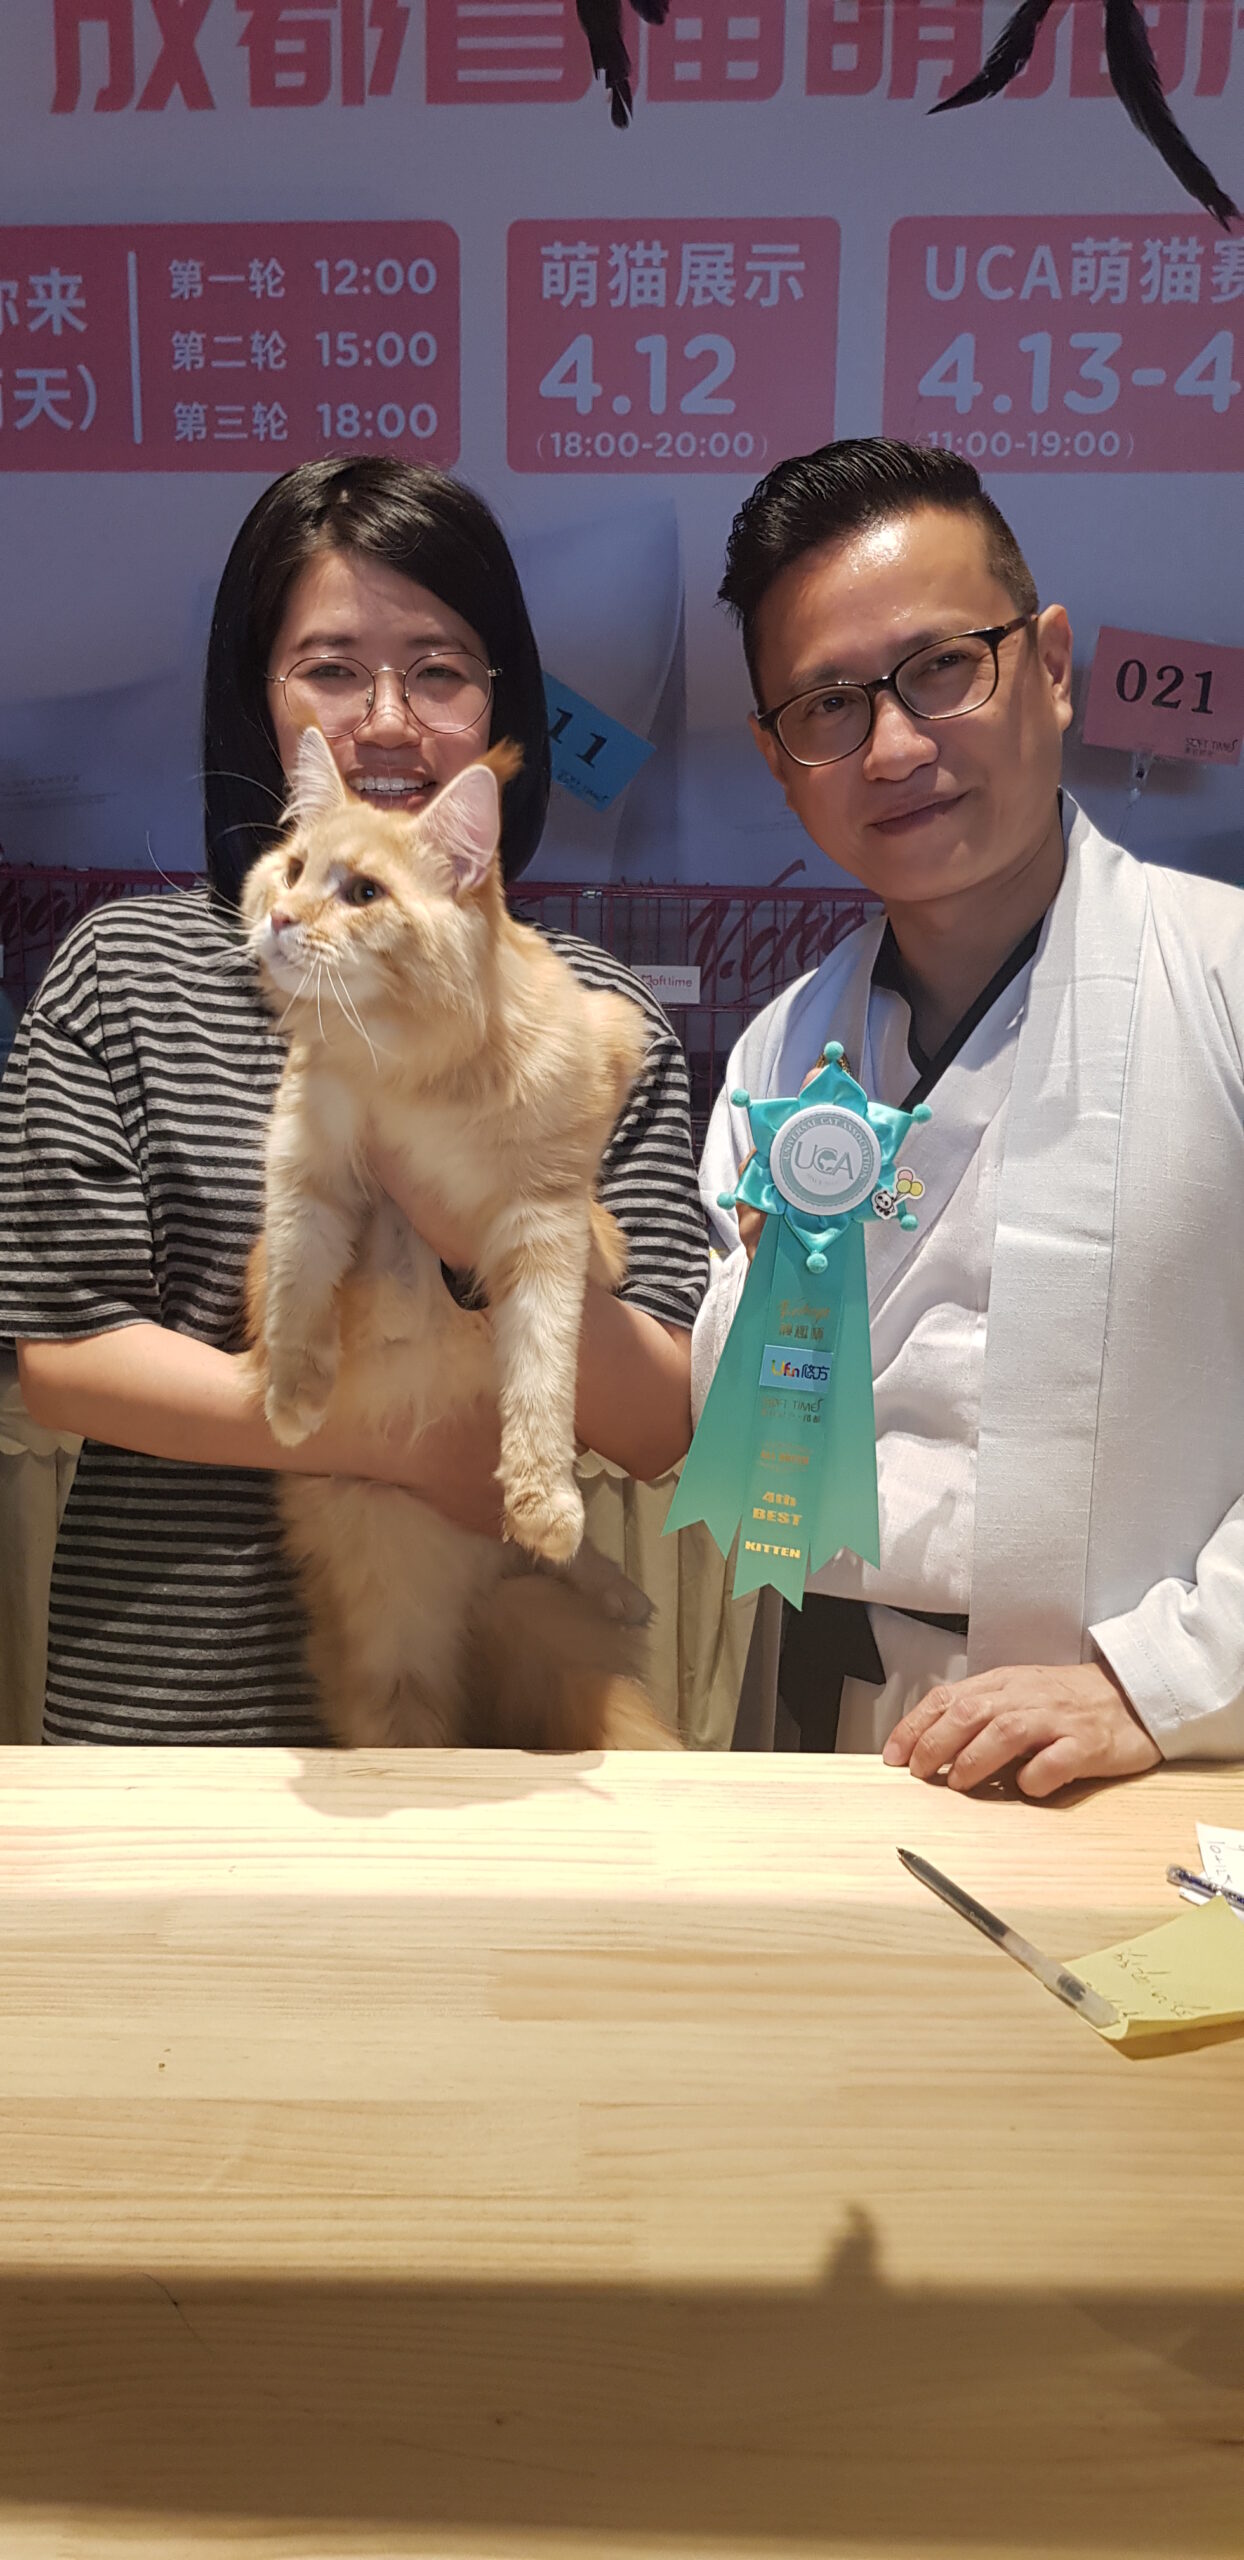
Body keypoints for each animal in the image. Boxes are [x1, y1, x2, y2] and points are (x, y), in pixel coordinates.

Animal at [240, 726, 680, 1753]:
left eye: (362, 892)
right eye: (290, 869)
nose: (279, 917)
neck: (413, 1073)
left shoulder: (546, 1214)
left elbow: (544, 1376)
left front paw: (542, 1496)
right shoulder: (308, 1160)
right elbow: (298, 1280)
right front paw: (294, 1395)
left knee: (563, 1567)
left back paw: (601, 1575)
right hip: (393, 1667)